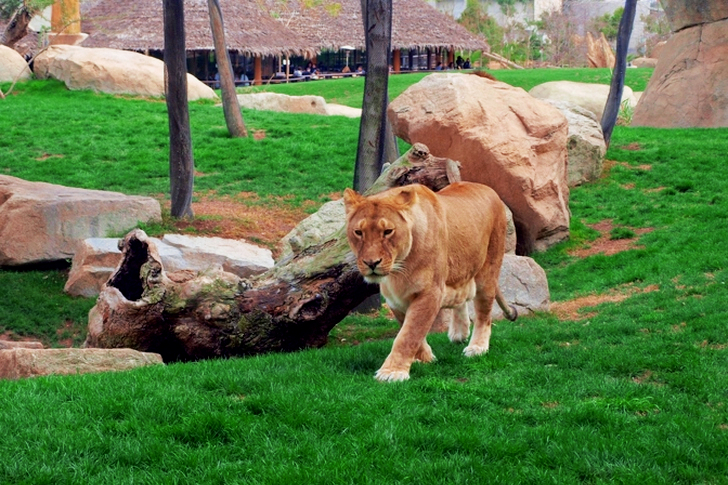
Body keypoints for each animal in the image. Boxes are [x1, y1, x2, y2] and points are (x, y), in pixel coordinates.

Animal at [343, 181, 517, 382]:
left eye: (388, 232)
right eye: (358, 232)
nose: (371, 263)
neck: (399, 269)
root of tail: (487, 188)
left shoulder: (430, 292)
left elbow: (409, 333)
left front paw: (392, 372)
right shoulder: (394, 298)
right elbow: (408, 328)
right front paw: (425, 358)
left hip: (488, 272)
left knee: (484, 314)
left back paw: (477, 347)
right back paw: (459, 333)